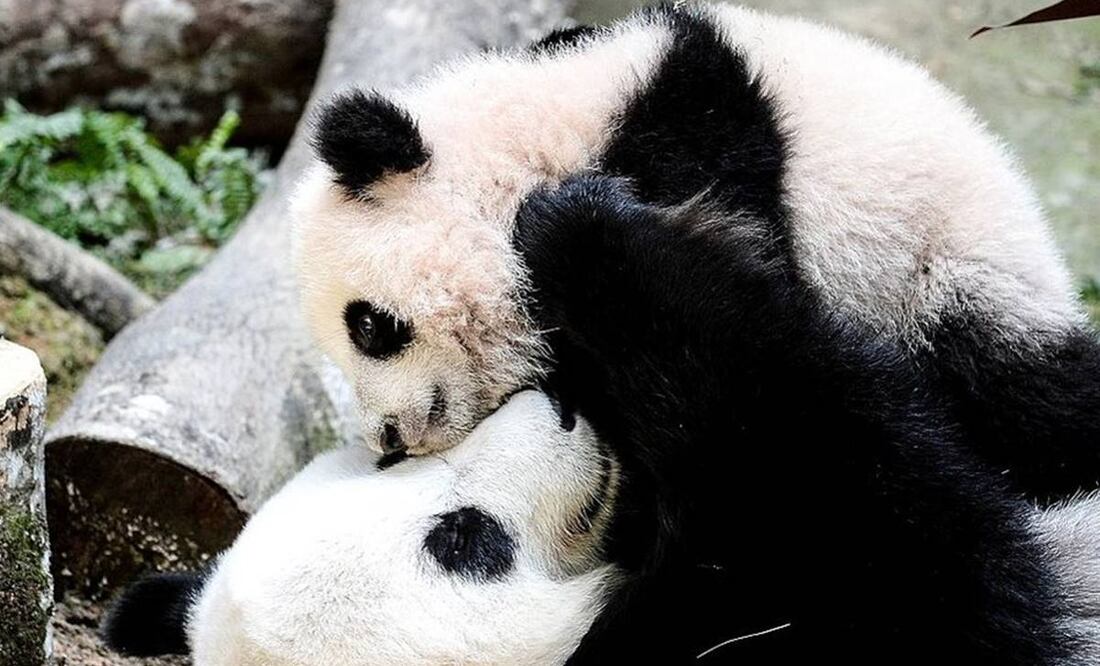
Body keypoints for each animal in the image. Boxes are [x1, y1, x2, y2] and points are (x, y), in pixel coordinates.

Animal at [104, 180, 1100, 664]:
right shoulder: (783, 629)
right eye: (463, 542)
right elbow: (908, 538)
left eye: (386, 465)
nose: (555, 407)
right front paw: (594, 234)